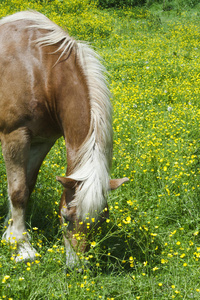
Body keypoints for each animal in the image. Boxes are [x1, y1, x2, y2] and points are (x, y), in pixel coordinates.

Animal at [0, 10, 128, 268]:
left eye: (100, 222)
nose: (77, 267)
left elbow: (27, 186)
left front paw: (9, 235)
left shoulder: (42, 140)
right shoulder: (15, 135)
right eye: (65, 217)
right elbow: (17, 191)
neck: (39, 72)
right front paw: (22, 248)